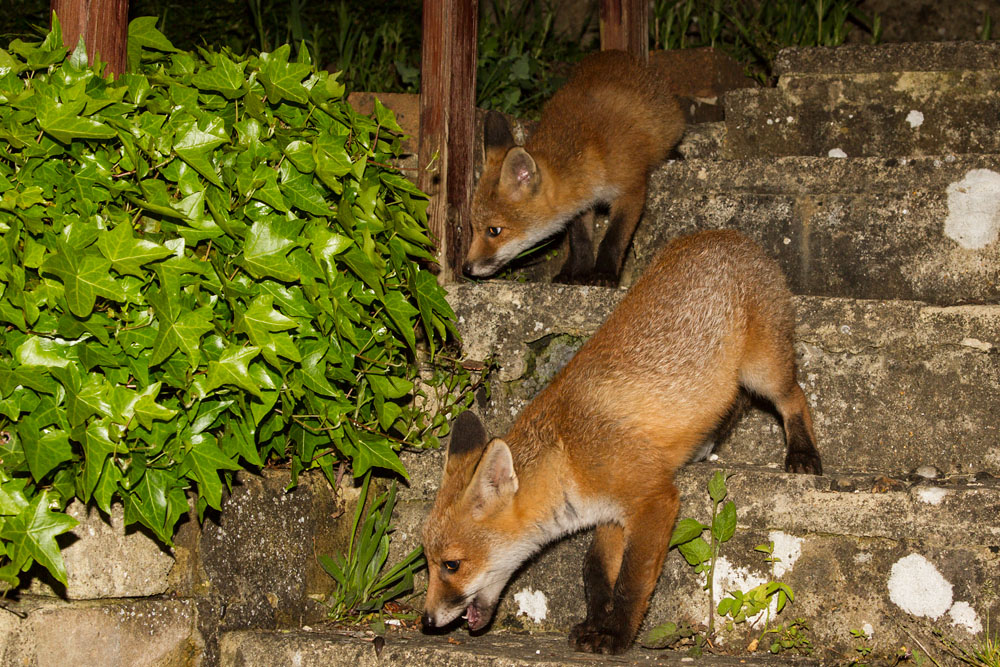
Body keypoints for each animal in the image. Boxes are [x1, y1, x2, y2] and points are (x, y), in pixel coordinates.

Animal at [423, 230, 822, 654]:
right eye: (427, 562)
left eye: (451, 565)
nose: (427, 621)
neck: (567, 455)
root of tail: (730, 235)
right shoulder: (610, 515)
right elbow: (595, 572)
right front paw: (596, 620)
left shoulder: (652, 500)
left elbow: (631, 580)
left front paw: (616, 634)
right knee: (735, 404)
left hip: (763, 370)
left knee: (795, 397)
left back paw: (802, 453)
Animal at [463, 49, 685, 286]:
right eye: (472, 227)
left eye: (494, 230)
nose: (466, 268)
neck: (592, 154)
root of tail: (615, 53)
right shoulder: (580, 201)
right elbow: (580, 241)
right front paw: (578, 272)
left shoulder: (631, 190)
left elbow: (613, 239)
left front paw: (604, 274)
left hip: (672, 125)